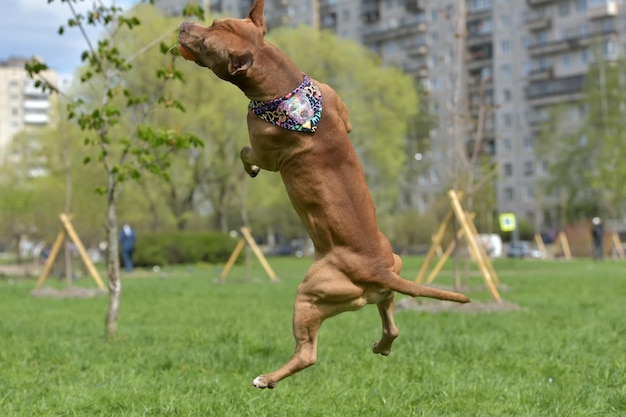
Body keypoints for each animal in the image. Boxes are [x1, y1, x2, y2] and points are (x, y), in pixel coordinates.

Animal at [177, 0, 468, 390]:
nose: (182, 26)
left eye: (208, 43)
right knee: (392, 326)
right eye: (214, 21)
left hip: (309, 295)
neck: (283, 82)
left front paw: (249, 169)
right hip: (391, 271)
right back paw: (381, 346)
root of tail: (378, 270)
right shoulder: (341, 109)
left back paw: (266, 379)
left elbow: (245, 152)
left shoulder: (266, 152)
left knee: (307, 354)